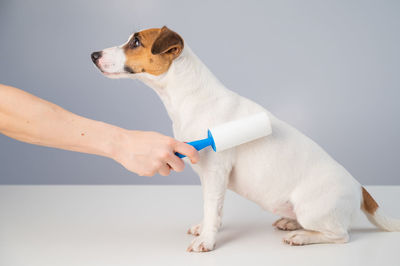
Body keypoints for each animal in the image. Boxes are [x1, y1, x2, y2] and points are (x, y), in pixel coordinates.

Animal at [91, 26, 400, 251]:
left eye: (135, 42)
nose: (93, 54)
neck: (191, 96)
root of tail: (360, 188)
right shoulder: (210, 178)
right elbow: (212, 211)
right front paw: (205, 228)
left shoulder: (216, 173)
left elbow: (212, 208)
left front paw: (207, 240)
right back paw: (291, 224)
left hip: (312, 209)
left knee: (340, 235)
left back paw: (302, 236)